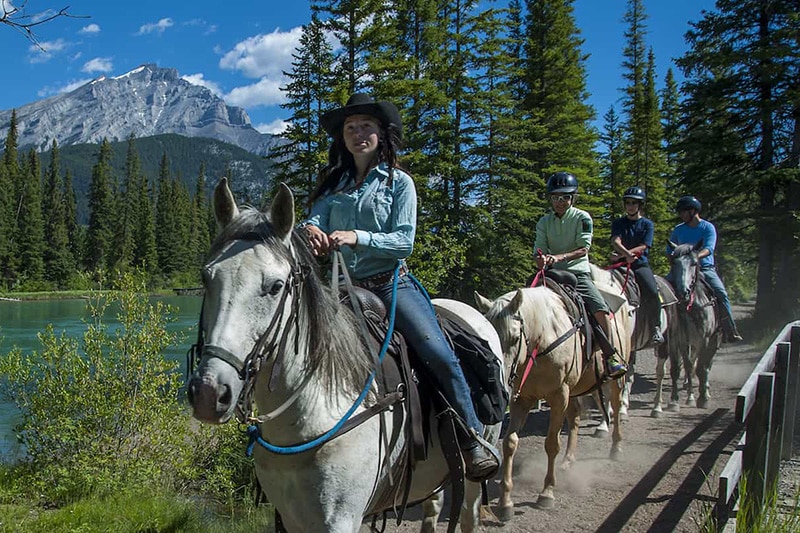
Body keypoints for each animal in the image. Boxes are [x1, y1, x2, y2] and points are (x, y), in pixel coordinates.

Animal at [186, 180, 506, 532]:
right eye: (206, 278)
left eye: (276, 286)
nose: (209, 392)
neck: (313, 414)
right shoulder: (291, 517)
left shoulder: (342, 519)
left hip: (475, 471)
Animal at [476, 266, 632, 520]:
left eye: (515, 338)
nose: (501, 383)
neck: (542, 339)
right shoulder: (523, 398)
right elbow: (510, 443)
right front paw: (506, 502)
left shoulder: (559, 396)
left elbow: (551, 443)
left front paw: (546, 493)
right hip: (575, 389)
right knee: (575, 416)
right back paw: (568, 461)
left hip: (615, 379)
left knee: (616, 408)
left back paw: (616, 448)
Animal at [660, 241, 720, 408]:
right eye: (674, 263)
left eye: (694, 263)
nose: (683, 292)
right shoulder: (676, 340)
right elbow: (677, 368)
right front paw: (675, 400)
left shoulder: (704, 340)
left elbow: (701, 368)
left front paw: (702, 398)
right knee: (690, 364)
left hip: (714, 339)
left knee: (706, 364)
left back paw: (705, 389)